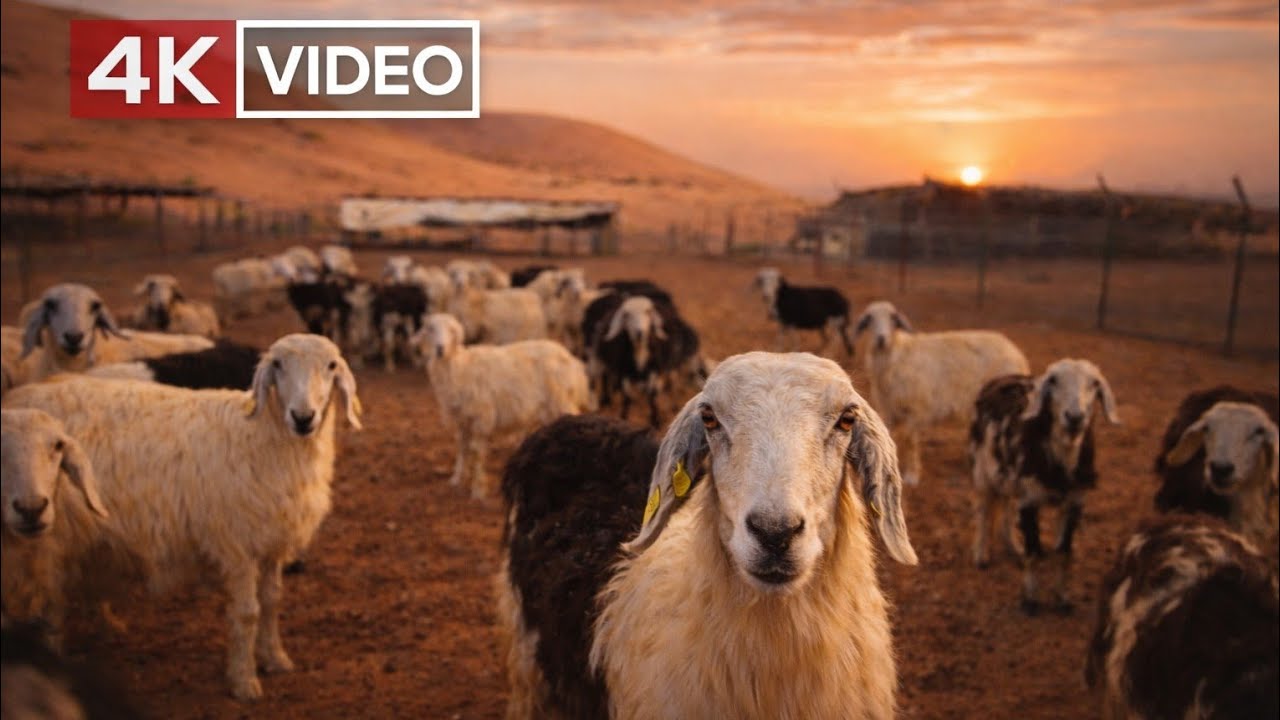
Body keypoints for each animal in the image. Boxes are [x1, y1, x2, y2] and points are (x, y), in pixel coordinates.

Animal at [411, 313, 592, 500]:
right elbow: (462, 448)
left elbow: (476, 453)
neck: (459, 367)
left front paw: (477, 490)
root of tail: (571, 359)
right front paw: (457, 478)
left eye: (452, 331)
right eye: (430, 329)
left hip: (561, 401)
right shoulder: (462, 419)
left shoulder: (481, 416)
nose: (440, 349)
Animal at [854, 300, 1030, 486]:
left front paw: (912, 475)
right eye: (869, 319)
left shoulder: (916, 409)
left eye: (893, 319)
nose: (881, 339)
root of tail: (1017, 353)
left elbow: (910, 441)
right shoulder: (889, 410)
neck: (896, 355)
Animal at [969, 358, 1120, 614]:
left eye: (1094, 383)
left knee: (1007, 506)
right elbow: (1034, 551)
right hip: (983, 468)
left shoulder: (1074, 502)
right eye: (1054, 381)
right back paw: (981, 555)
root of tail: (1004, 377)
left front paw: (1062, 600)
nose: (1074, 417)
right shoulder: (1030, 500)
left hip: (1011, 477)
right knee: (984, 509)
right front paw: (1030, 601)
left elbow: (1063, 552)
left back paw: (1013, 547)